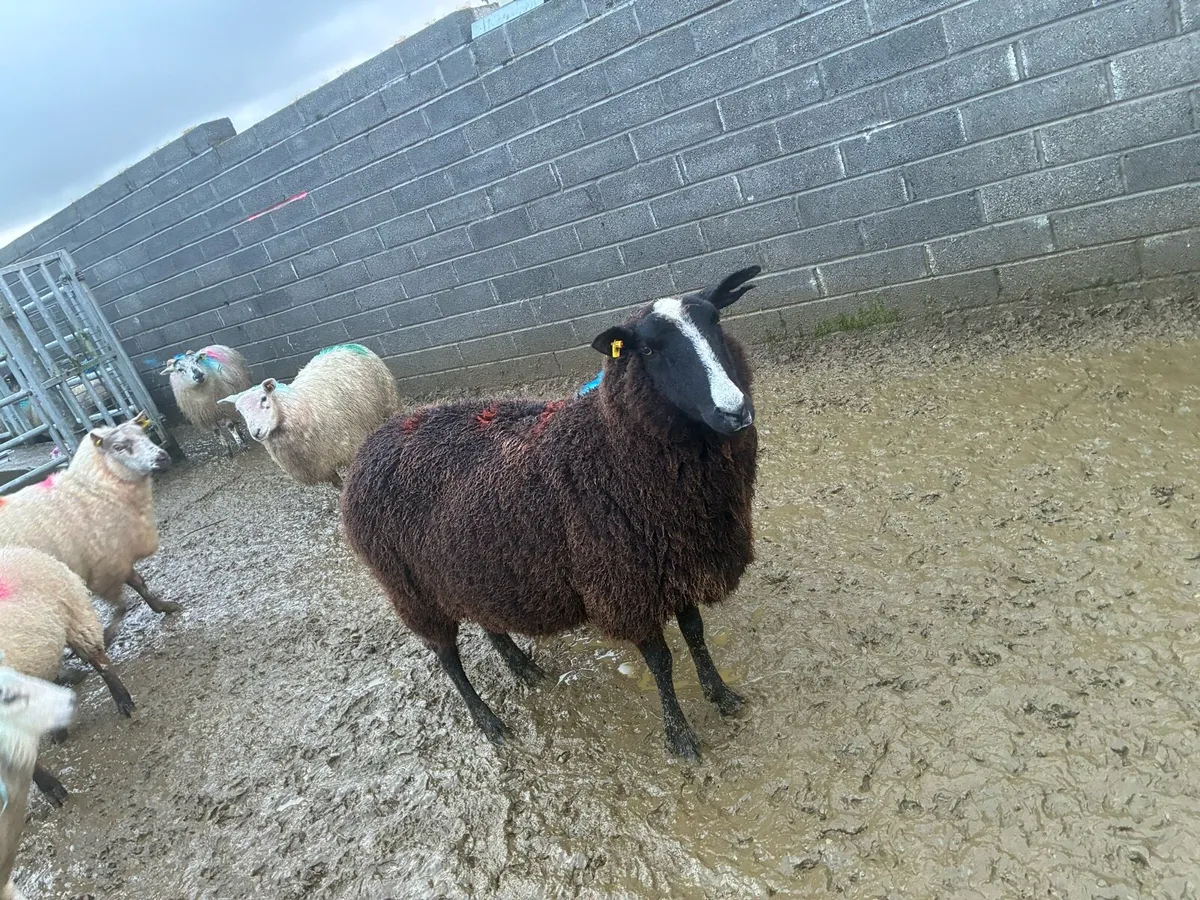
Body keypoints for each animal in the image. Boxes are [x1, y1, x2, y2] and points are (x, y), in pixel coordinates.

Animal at [0, 414, 179, 646]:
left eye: (144, 434)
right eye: (119, 447)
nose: (163, 457)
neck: (89, 490)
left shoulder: (115, 556)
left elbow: (139, 583)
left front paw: (163, 606)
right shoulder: (104, 566)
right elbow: (122, 602)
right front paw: (108, 634)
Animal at [222, 343, 398, 489]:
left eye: (264, 398)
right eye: (240, 410)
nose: (256, 432)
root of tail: (344, 345)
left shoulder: (349, 451)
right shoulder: (321, 468)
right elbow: (339, 486)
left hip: (389, 403)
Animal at [341, 266, 762, 761]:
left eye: (716, 321)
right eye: (649, 349)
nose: (734, 412)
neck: (610, 448)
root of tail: (370, 444)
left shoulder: (677, 562)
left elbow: (695, 633)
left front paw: (721, 694)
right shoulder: (624, 584)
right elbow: (661, 661)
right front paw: (679, 737)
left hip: (464, 570)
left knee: (488, 622)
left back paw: (522, 666)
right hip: (410, 588)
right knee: (447, 657)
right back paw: (489, 722)